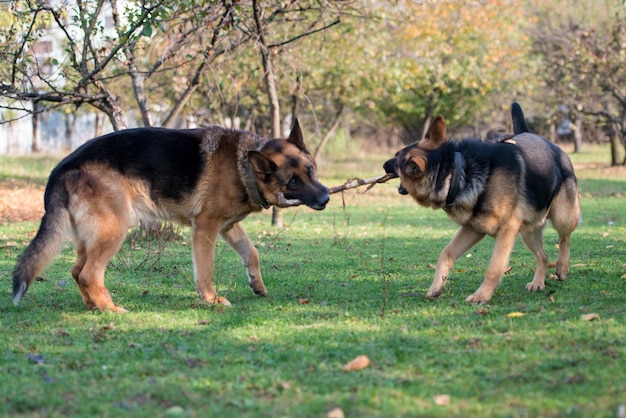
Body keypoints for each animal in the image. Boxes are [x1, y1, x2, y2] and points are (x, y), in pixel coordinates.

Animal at [12, 119, 330, 312]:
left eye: (311, 170)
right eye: (293, 181)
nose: (326, 197)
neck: (245, 168)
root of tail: (62, 168)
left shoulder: (228, 227)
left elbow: (251, 252)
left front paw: (257, 285)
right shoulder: (205, 228)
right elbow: (205, 269)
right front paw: (211, 299)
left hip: (92, 236)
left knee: (77, 271)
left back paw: (93, 306)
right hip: (114, 230)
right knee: (89, 273)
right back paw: (110, 310)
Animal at [382, 102, 576, 302]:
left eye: (396, 158)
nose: (383, 165)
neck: (459, 172)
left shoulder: (507, 231)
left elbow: (494, 268)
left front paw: (481, 296)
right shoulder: (473, 228)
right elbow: (445, 254)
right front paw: (436, 287)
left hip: (563, 217)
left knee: (564, 239)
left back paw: (562, 268)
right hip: (528, 231)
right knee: (543, 256)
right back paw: (538, 282)